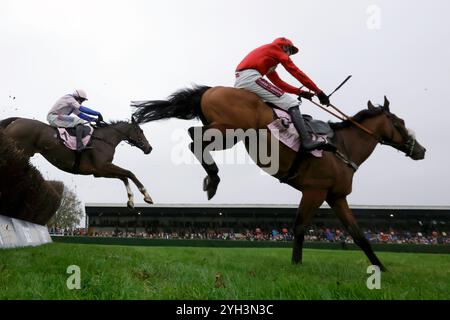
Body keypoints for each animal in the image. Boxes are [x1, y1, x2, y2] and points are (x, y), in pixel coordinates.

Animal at [0, 116, 153, 209]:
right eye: (140, 130)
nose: (149, 148)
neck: (105, 139)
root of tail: (18, 120)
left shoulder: (99, 172)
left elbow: (124, 177)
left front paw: (131, 201)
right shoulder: (102, 166)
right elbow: (129, 173)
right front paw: (147, 195)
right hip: (19, 151)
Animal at [133, 85, 426, 270]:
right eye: (399, 122)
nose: (421, 150)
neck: (342, 148)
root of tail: (211, 89)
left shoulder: (336, 196)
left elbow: (358, 234)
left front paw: (381, 268)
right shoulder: (314, 191)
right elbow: (300, 227)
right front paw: (296, 264)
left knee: (195, 137)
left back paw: (212, 179)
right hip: (230, 130)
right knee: (194, 137)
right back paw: (213, 179)